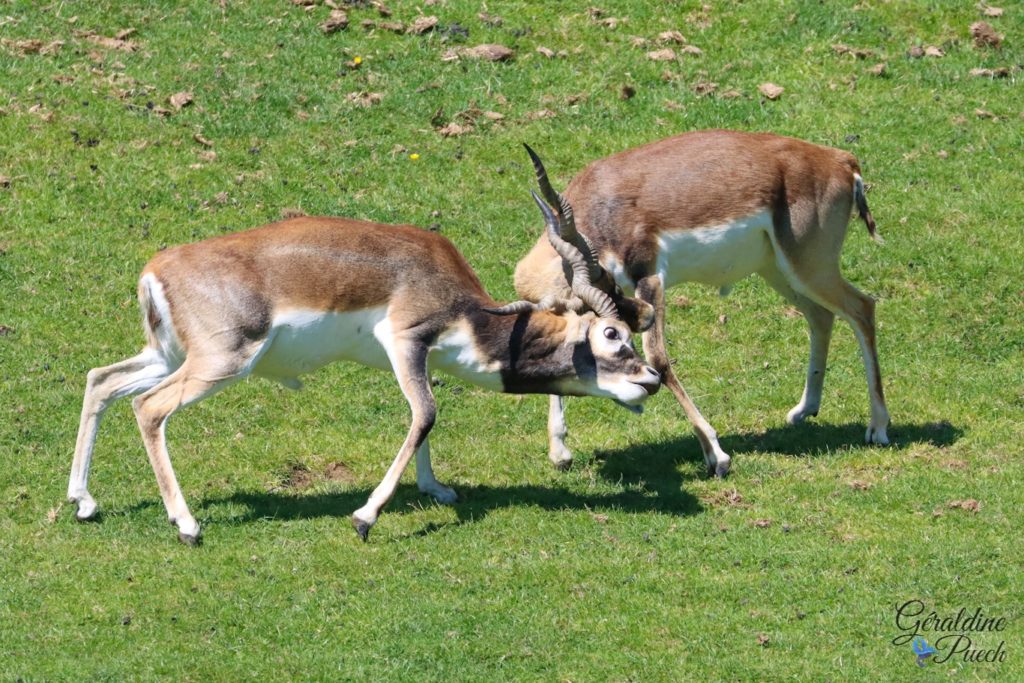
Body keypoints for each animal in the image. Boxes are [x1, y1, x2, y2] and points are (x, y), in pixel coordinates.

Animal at [74, 197, 663, 544]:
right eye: (611, 335)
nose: (650, 379)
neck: (466, 309)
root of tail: (157, 270)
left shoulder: (413, 357)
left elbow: (423, 417)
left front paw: (435, 489)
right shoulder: (406, 339)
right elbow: (426, 413)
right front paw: (365, 516)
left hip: (169, 357)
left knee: (101, 380)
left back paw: (82, 501)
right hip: (221, 362)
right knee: (147, 407)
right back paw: (188, 525)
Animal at [516, 131, 892, 479]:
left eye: (610, 281)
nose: (645, 316)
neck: (598, 209)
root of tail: (840, 160)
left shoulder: (650, 278)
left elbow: (659, 360)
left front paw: (717, 455)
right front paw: (560, 453)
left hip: (809, 266)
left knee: (862, 308)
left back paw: (878, 428)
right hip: (779, 269)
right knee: (821, 316)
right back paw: (804, 410)